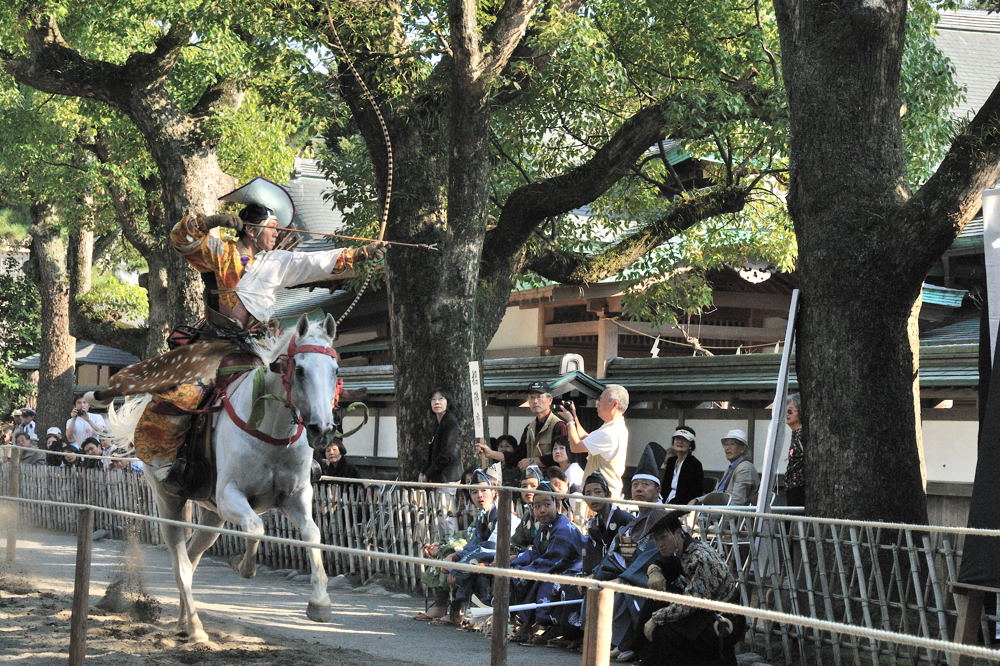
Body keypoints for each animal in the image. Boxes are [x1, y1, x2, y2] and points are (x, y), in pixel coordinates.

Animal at [108, 312, 338, 640]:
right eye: (301, 370)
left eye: (335, 370)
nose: (323, 429)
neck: (271, 433)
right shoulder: (231, 496)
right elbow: (256, 528)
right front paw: (244, 566)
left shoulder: (295, 498)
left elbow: (312, 534)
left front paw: (320, 604)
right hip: (169, 502)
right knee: (180, 563)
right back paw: (195, 627)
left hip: (212, 516)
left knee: (192, 558)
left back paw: (184, 621)